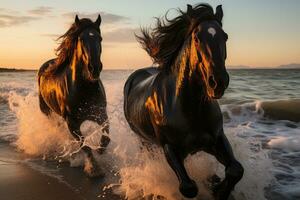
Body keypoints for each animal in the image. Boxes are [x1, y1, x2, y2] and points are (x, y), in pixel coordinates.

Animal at [37, 14, 109, 177]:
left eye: (100, 38)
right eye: (81, 39)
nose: (95, 68)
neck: (84, 88)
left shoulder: (100, 114)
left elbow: (106, 137)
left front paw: (100, 150)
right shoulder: (72, 123)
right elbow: (84, 145)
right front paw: (94, 169)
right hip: (47, 111)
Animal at [124, 3, 244, 199]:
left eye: (225, 36)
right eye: (196, 38)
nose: (218, 82)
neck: (189, 107)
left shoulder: (217, 139)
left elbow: (236, 170)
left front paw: (217, 187)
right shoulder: (169, 147)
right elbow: (188, 187)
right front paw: (212, 186)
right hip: (144, 141)